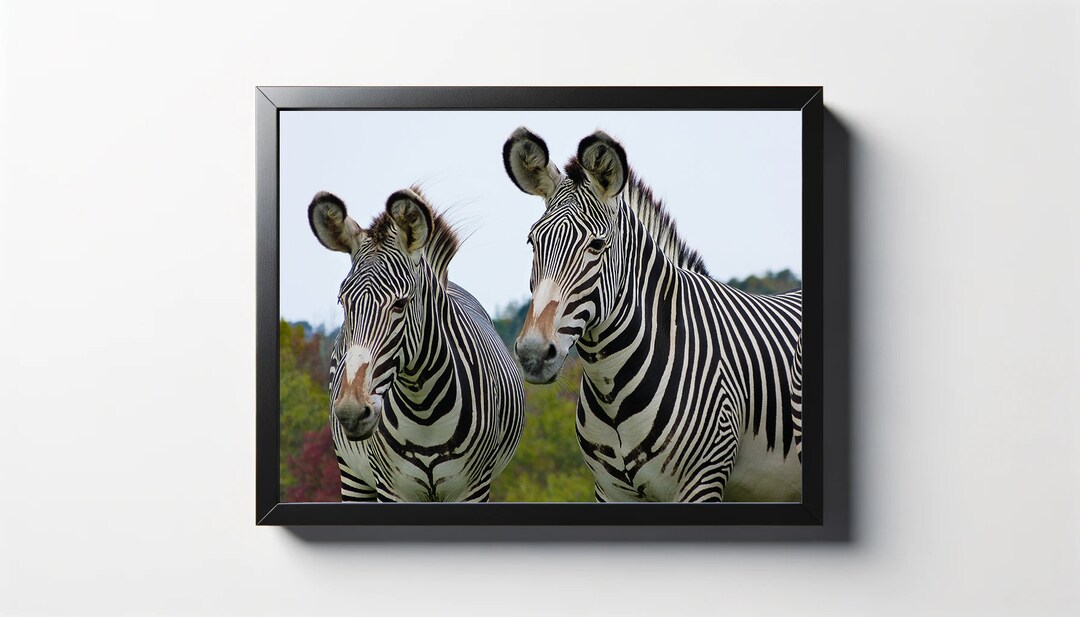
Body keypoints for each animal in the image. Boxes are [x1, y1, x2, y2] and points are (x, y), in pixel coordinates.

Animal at [307, 187, 525, 502]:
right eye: (343, 302)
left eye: (400, 303)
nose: (351, 411)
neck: (423, 411)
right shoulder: (391, 488)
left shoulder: (472, 488)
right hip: (351, 473)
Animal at [503, 127, 803, 502]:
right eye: (532, 242)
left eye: (596, 246)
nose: (533, 353)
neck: (610, 389)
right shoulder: (610, 490)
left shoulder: (701, 482)